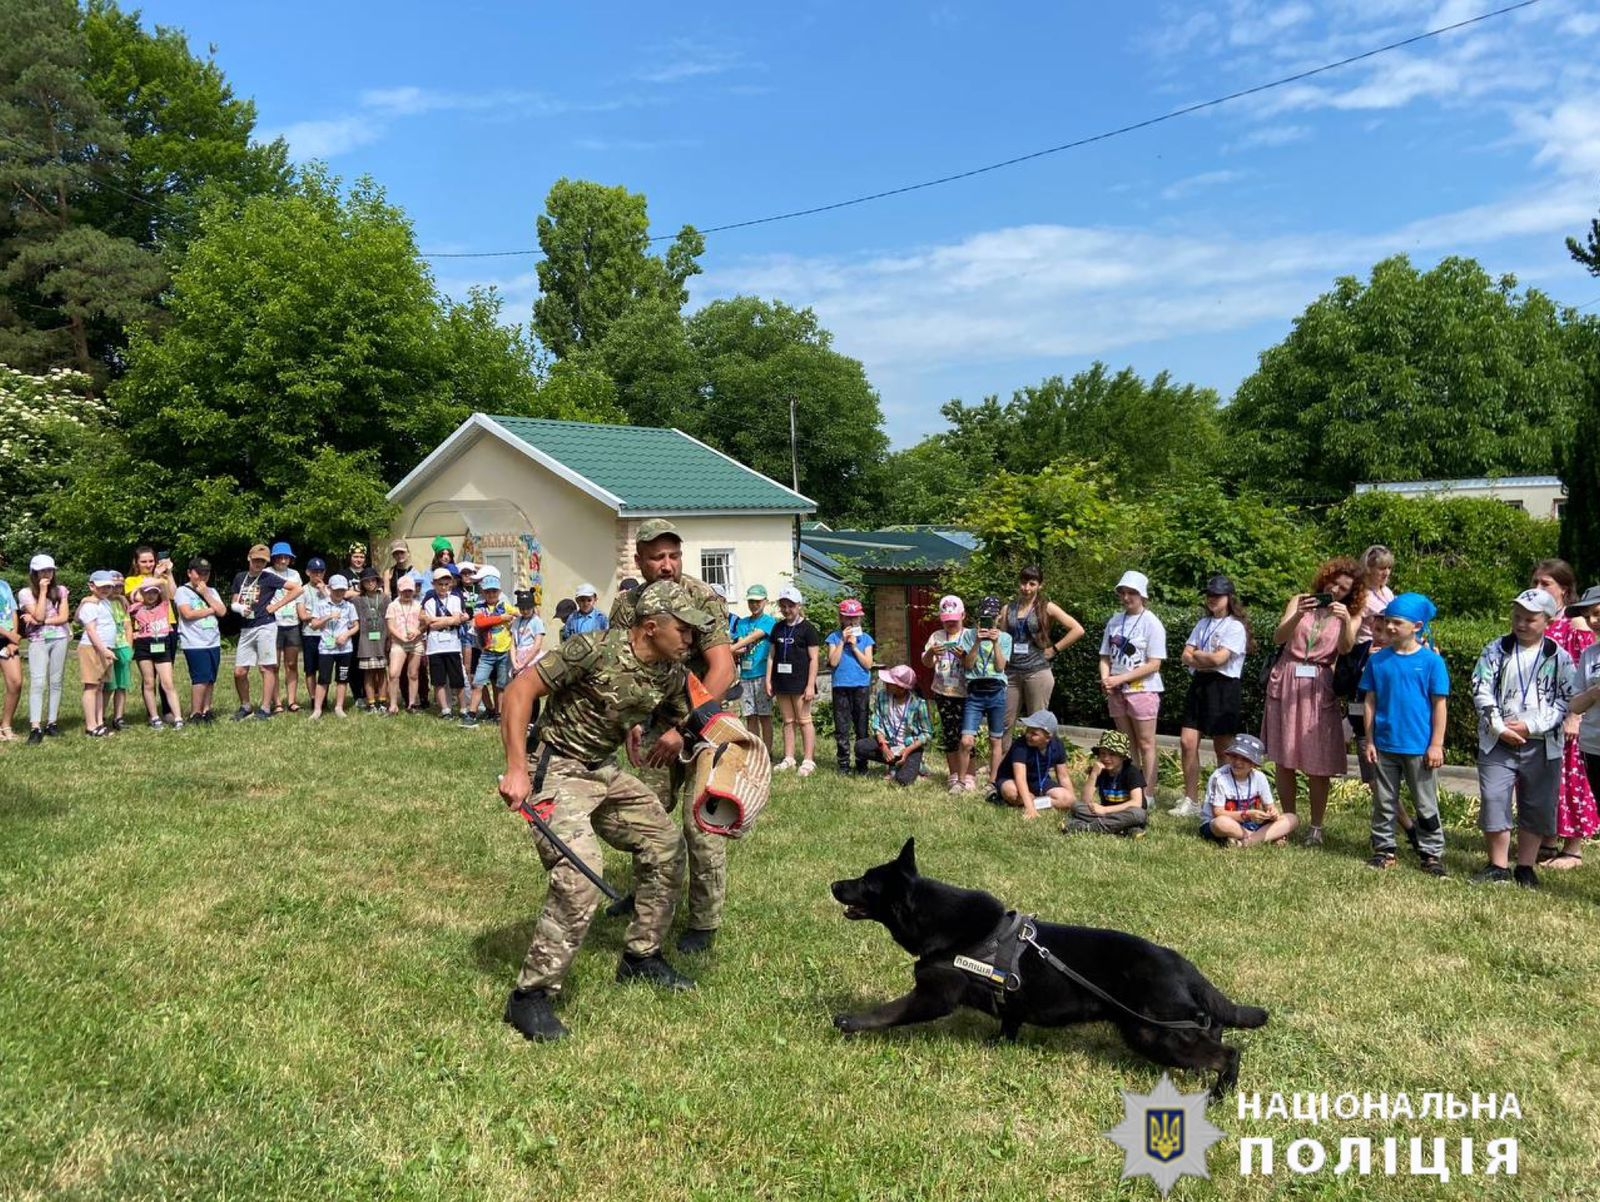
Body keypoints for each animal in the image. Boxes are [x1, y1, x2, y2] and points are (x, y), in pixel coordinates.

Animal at [832, 838, 1267, 1094]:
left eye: (866, 882)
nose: (833, 884)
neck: (937, 917)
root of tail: (1179, 963)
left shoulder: (933, 996)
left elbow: (888, 1012)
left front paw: (850, 1022)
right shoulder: (1010, 1004)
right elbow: (1009, 1023)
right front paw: (1000, 1045)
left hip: (1154, 1034)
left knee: (1230, 1052)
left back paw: (1221, 1093)